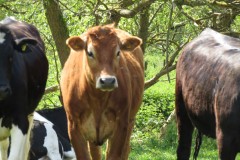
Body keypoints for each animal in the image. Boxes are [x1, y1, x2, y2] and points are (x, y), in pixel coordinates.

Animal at [60, 24, 144, 160]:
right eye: (90, 53)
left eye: (118, 52)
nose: (108, 81)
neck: (97, 99)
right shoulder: (73, 125)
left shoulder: (122, 124)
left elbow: (114, 155)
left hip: (131, 121)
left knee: (126, 150)